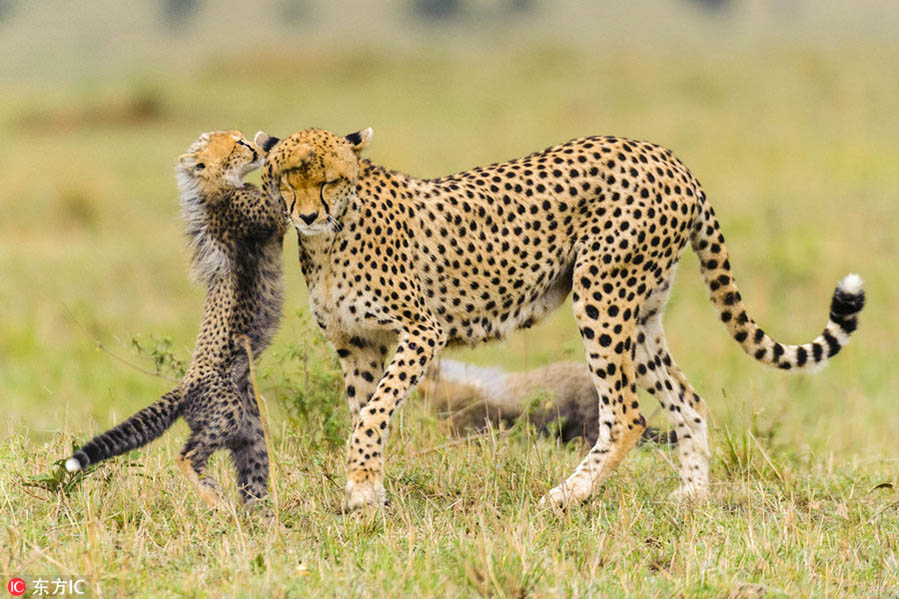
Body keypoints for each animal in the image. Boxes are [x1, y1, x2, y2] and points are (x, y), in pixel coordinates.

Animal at [65, 130, 287, 508]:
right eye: (238, 143)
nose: (256, 149)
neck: (218, 187)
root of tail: (185, 385)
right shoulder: (269, 219)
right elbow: (282, 202)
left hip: (250, 432)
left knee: (252, 479)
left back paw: (257, 518)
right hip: (226, 413)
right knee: (187, 455)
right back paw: (217, 500)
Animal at [256, 126, 864, 510]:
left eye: (329, 180)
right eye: (285, 178)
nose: (306, 215)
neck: (330, 237)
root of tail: (665, 155)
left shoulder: (422, 332)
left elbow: (371, 414)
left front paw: (362, 489)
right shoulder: (357, 343)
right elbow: (366, 413)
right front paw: (368, 492)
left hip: (601, 294)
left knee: (626, 415)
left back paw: (567, 496)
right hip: (642, 313)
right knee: (687, 398)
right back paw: (692, 495)